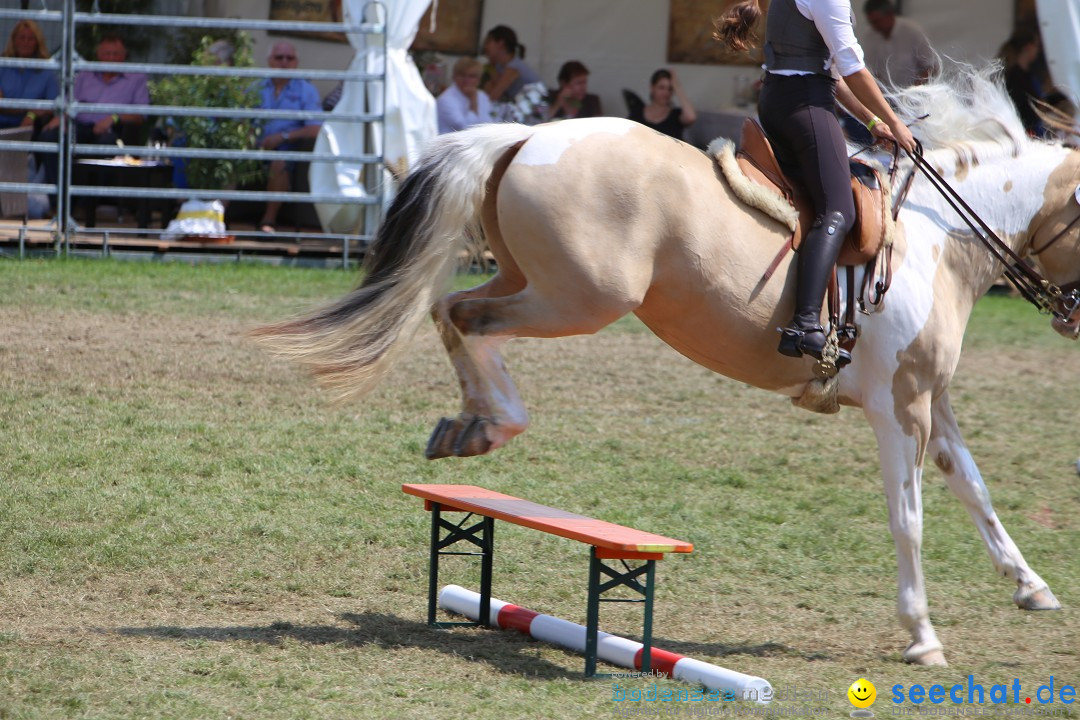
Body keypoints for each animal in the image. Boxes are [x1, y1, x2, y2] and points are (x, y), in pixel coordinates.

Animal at [259, 70, 1080, 669]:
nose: (1073, 316)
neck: (940, 239)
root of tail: (527, 134)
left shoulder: (929, 401)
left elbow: (973, 488)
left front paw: (1032, 587)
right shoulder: (896, 406)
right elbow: (908, 519)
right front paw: (923, 636)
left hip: (532, 280)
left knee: (451, 311)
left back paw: (470, 426)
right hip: (579, 298)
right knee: (463, 317)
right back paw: (492, 424)